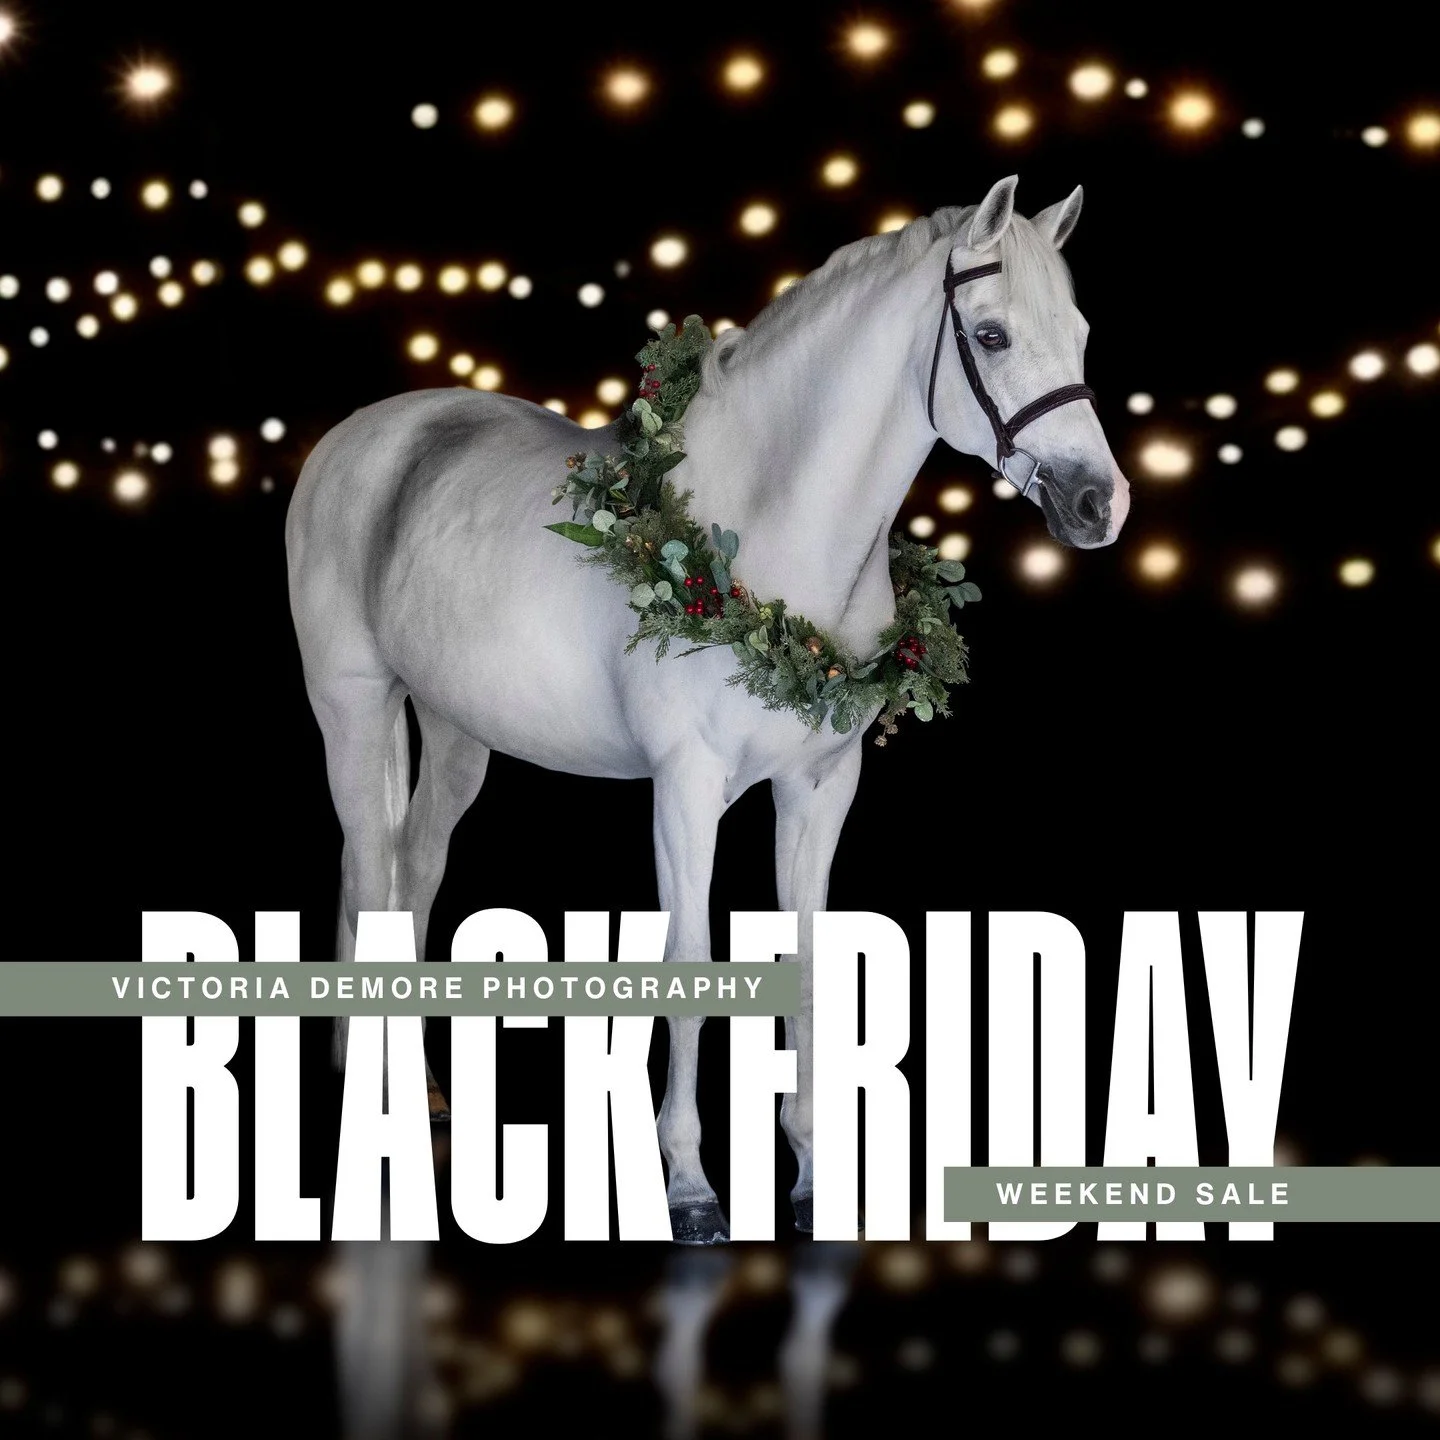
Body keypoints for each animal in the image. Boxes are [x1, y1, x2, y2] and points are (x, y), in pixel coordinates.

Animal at [285, 174, 1131, 1245]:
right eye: (990, 335)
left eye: (1082, 331)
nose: (1099, 504)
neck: (768, 525)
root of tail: (364, 435)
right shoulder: (685, 787)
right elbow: (690, 961)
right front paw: (688, 1187)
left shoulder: (821, 786)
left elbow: (806, 961)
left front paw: (811, 1178)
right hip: (351, 711)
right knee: (367, 864)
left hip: (454, 730)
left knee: (417, 870)